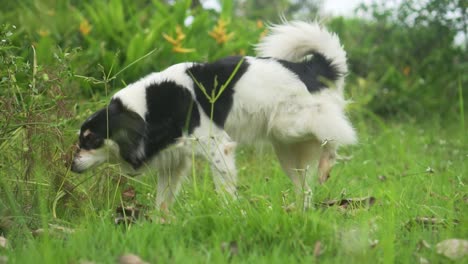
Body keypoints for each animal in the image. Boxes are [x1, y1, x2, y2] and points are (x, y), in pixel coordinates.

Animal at [70, 21, 354, 209]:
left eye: (90, 140)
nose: (70, 166)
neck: (147, 109)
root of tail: (308, 68)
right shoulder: (174, 163)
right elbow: (163, 202)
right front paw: (160, 226)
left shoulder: (219, 147)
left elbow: (225, 191)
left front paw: (230, 215)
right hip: (285, 147)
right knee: (304, 188)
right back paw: (301, 211)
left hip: (289, 124)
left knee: (335, 131)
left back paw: (327, 162)